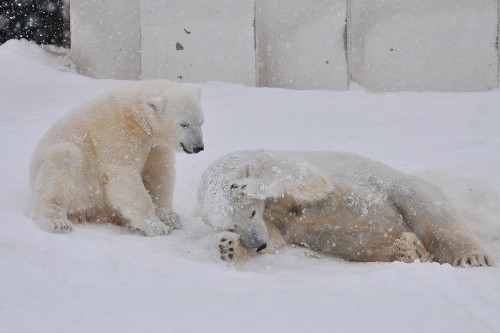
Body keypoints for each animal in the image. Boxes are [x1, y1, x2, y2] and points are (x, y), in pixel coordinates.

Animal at [31, 79, 204, 235]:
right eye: (184, 124)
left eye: (201, 121)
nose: (198, 147)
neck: (136, 114)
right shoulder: (119, 135)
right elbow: (124, 175)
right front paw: (157, 227)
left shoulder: (156, 146)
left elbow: (159, 174)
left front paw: (170, 218)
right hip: (82, 187)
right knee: (61, 163)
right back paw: (57, 222)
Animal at [198, 150, 492, 268]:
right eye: (232, 225)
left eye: (250, 212)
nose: (258, 244)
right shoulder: (272, 222)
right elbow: (278, 237)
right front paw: (228, 247)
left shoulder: (279, 162)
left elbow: (305, 177)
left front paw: (245, 185)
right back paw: (409, 249)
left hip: (399, 188)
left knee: (433, 213)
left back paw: (472, 256)